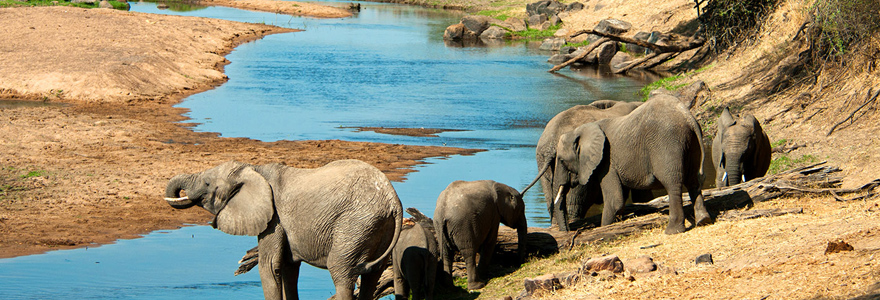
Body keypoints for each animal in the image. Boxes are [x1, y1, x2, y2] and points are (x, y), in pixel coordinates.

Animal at [162, 159, 402, 300]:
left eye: (207, 184)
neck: (254, 170)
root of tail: (393, 201)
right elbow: (288, 268)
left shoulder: (274, 218)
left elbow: (269, 266)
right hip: (377, 228)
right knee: (372, 276)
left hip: (355, 224)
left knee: (341, 272)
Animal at [552, 94, 712, 234]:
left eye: (561, 160)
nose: (569, 231)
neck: (582, 129)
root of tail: (687, 116)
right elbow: (620, 199)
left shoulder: (607, 163)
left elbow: (614, 201)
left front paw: (604, 228)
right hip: (692, 144)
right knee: (693, 181)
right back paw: (703, 221)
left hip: (667, 142)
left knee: (673, 183)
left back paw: (672, 231)